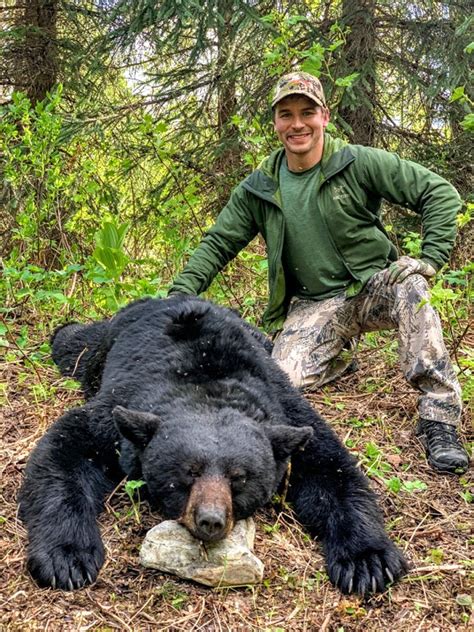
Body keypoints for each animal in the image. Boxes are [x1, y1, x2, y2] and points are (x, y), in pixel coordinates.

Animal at [17, 296, 404, 592]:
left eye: (239, 477)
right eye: (188, 473)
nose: (211, 520)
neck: (205, 384)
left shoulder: (285, 409)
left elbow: (331, 469)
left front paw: (367, 561)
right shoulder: (117, 411)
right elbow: (64, 451)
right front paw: (68, 557)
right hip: (105, 346)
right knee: (75, 346)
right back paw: (64, 329)